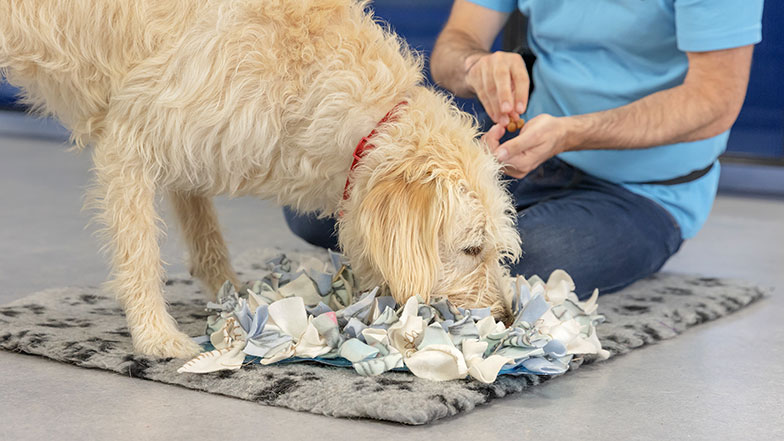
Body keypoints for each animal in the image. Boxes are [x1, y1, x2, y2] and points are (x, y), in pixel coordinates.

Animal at [4, 0, 528, 358]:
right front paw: (156, 336)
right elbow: (141, 255)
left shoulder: (193, 141)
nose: (506, 319)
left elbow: (206, 235)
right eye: (470, 249)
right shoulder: (131, 141)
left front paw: (232, 298)